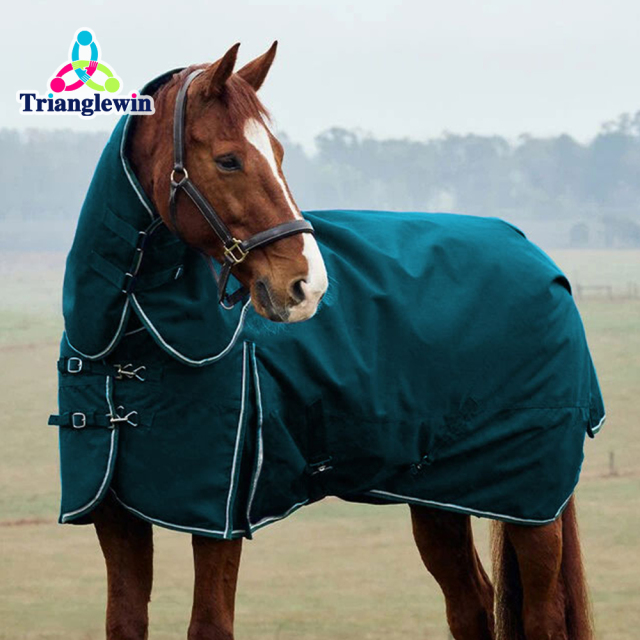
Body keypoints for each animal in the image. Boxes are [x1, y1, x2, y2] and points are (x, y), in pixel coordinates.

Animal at [53, 43, 599, 640]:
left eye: (279, 154)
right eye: (228, 160)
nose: (307, 285)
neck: (132, 347)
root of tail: (540, 259)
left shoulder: (218, 520)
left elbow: (210, 624)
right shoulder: (115, 518)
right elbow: (124, 620)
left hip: (532, 503)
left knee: (542, 616)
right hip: (439, 493)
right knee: (470, 603)